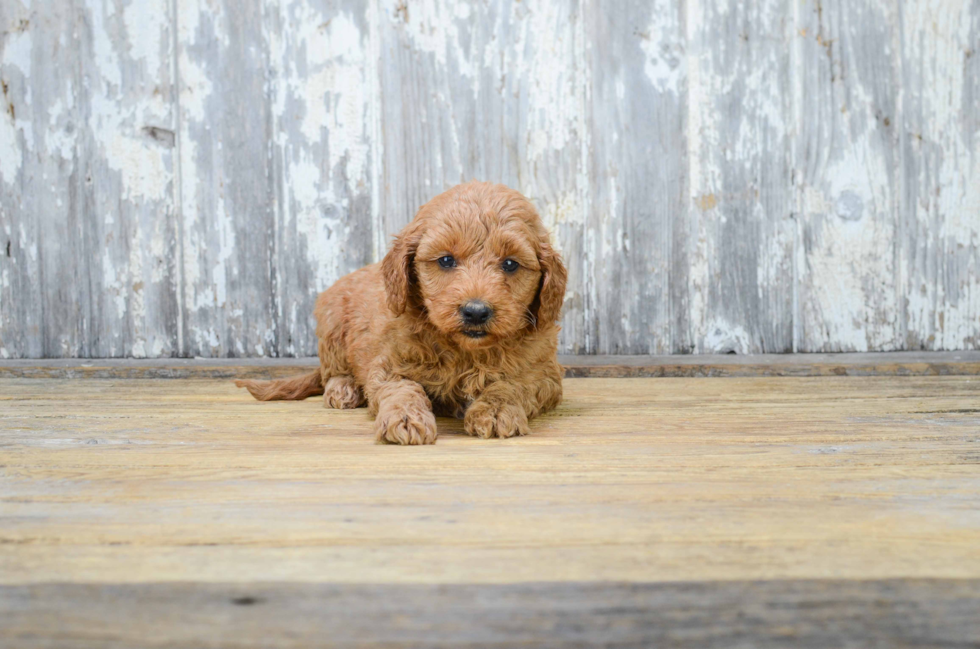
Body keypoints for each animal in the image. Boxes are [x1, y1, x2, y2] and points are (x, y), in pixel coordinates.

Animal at [235, 182, 568, 446]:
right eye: (446, 260)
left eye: (510, 264)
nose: (475, 312)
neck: (465, 351)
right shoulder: (388, 364)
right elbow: (402, 388)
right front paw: (405, 418)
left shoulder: (544, 373)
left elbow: (513, 384)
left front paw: (495, 409)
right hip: (331, 326)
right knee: (331, 372)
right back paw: (344, 388)